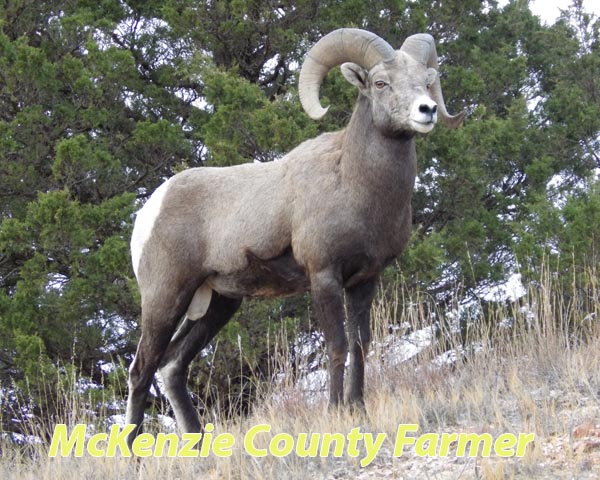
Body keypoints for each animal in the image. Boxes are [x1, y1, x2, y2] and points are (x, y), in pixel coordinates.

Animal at [125, 29, 464, 442]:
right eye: (381, 83)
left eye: (427, 81)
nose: (426, 110)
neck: (353, 183)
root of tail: (150, 210)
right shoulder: (324, 276)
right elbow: (337, 345)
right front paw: (336, 413)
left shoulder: (365, 280)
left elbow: (360, 344)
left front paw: (359, 409)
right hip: (165, 298)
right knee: (142, 369)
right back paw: (130, 450)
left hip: (218, 303)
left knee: (172, 365)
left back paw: (197, 443)